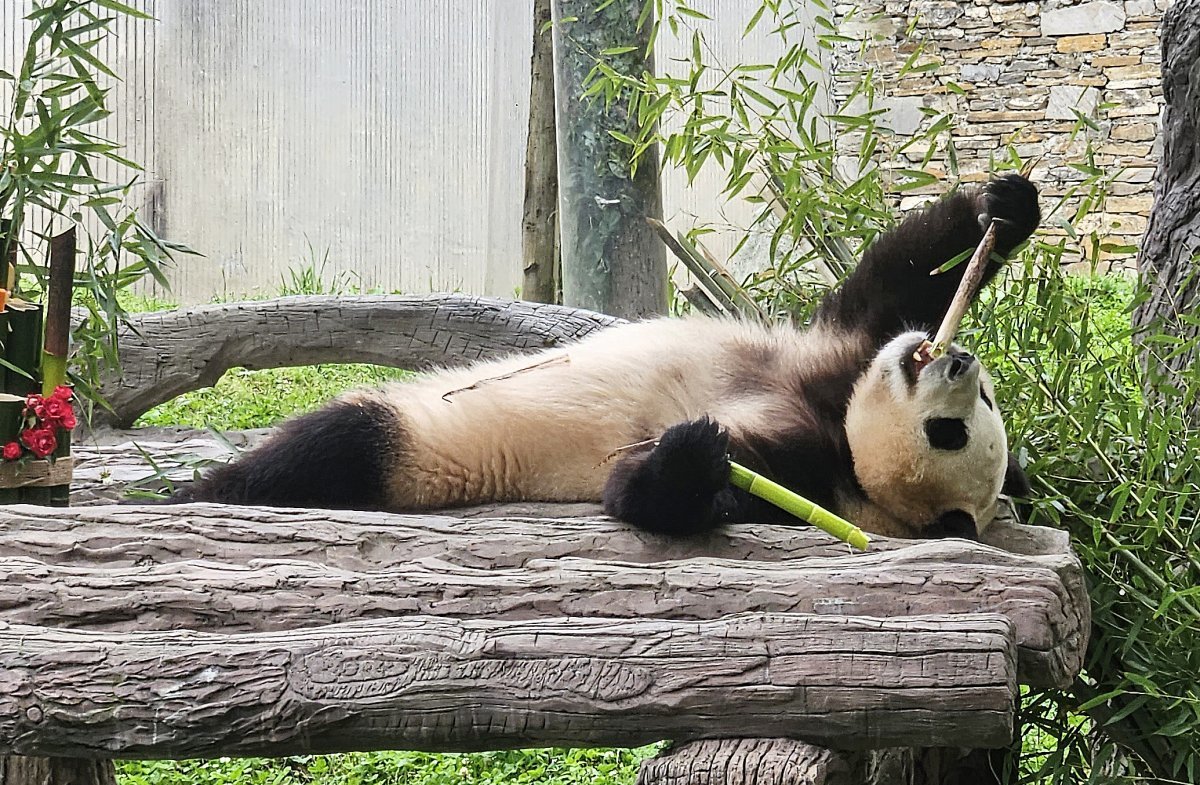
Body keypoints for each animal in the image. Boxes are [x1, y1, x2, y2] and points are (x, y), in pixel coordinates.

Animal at [171, 172, 1041, 542]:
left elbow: (651, 492)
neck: (842, 436)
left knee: (337, 448)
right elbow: (891, 283)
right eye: (982, 407)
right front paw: (1001, 207)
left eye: (952, 434)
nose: (958, 363)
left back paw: (205, 491)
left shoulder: (813, 474)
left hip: (425, 447)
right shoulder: (839, 356)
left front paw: (692, 453)